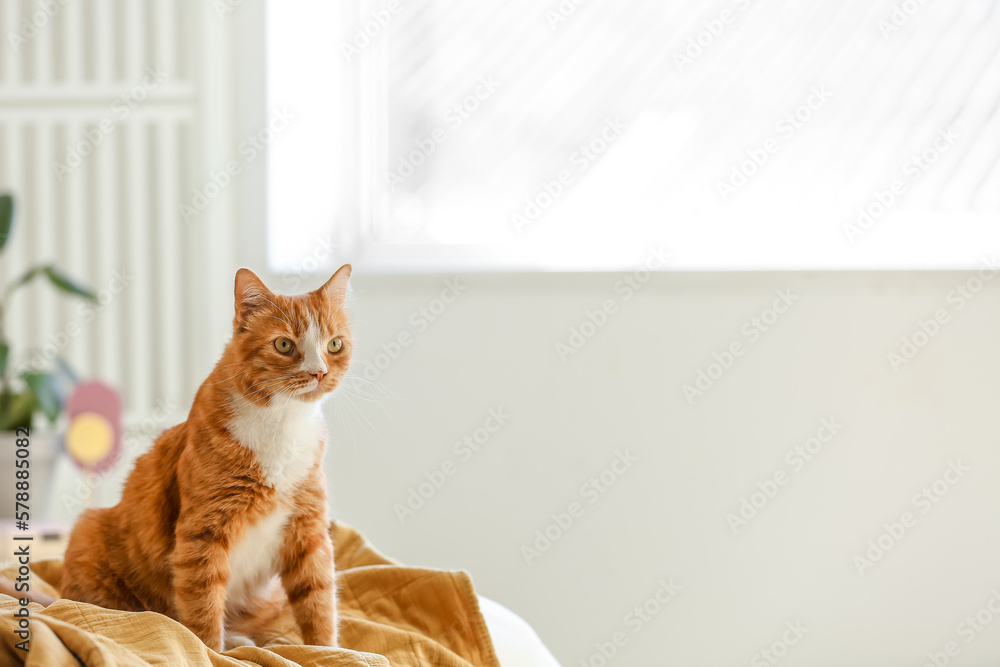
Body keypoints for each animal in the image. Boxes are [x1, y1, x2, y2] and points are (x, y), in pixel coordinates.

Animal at [60, 266, 354, 652]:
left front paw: (327, 652)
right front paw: (213, 652)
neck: (283, 421)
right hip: (89, 530)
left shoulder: (308, 528)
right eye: (284, 345)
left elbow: (318, 599)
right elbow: (202, 607)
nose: (319, 372)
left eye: (334, 344)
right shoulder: (203, 533)